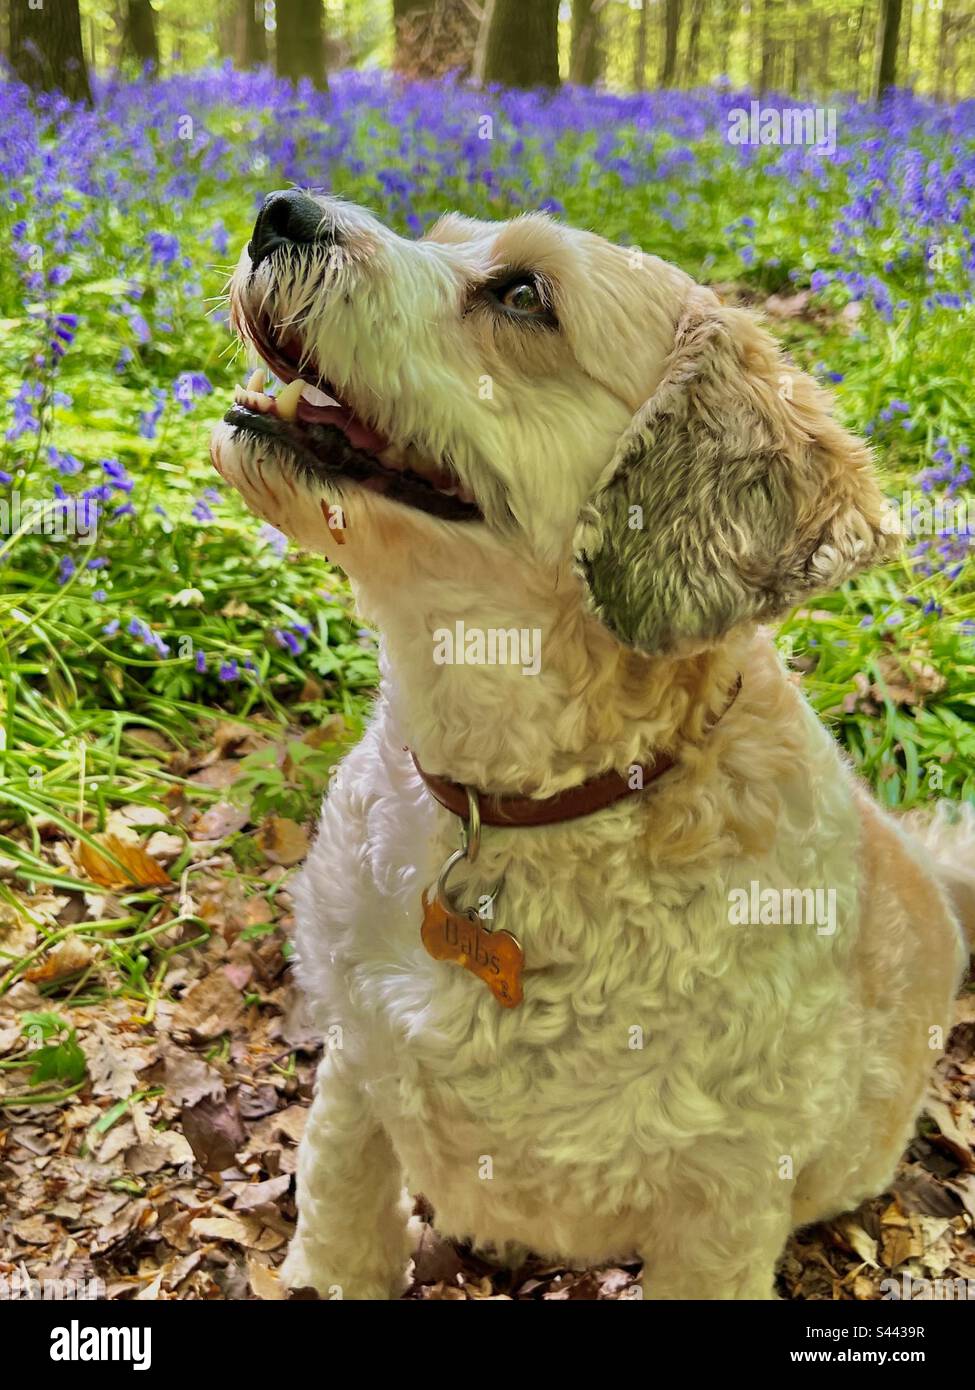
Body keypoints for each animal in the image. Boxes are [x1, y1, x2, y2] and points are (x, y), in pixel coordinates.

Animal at [208, 190, 968, 1295]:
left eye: (523, 294)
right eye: (439, 238)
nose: (281, 210)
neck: (516, 805)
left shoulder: (725, 1207)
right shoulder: (358, 1071)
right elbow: (342, 1211)